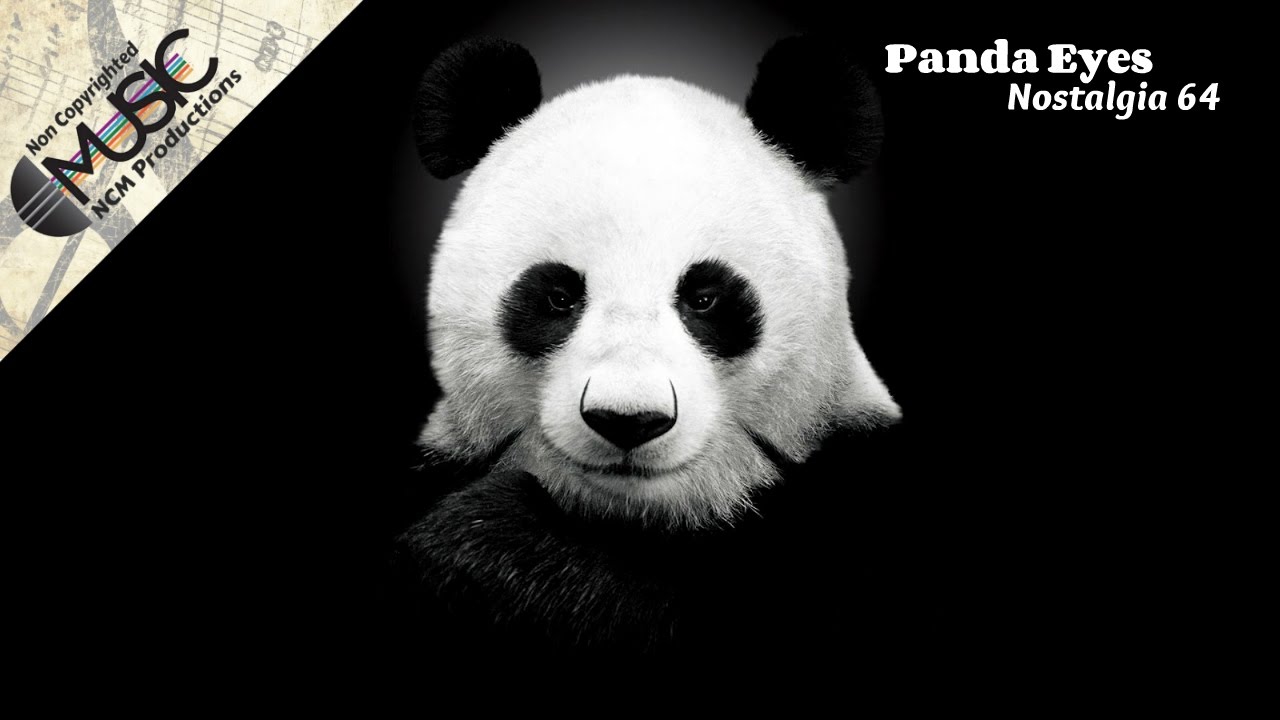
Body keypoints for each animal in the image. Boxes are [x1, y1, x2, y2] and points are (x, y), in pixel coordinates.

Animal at [391, 36, 911, 660]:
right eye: (559, 297)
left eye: (705, 298)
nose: (629, 420)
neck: (637, 518)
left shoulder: (854, 496)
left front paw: (488, 543)